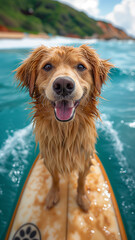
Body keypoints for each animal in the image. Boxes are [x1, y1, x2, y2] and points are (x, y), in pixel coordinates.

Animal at [15, 45, 113, 212]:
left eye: (81, 66)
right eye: (47, 66)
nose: (63, 85)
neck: (65, 131)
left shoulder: (85, 158)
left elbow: (81, 181)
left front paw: (82, 198)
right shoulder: (50, 158)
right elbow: (54, 178)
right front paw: (53, 194)